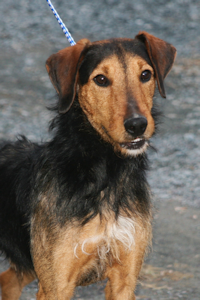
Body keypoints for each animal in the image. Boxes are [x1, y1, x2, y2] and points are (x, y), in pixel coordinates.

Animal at [0, 31, 175, 298]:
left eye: (146, 74)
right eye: (100, 79)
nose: (137, 125)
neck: (105, 173)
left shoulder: (124, 280)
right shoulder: (56, 285)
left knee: (7, 281)